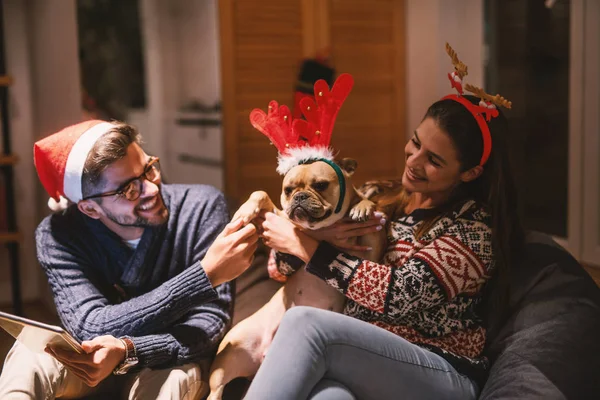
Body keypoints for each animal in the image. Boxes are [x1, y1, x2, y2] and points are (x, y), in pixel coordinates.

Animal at [209, 158, 386, 398]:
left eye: (321, 185)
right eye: (288, 190)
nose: (299, 196)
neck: (322, 229)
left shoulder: (369, 255)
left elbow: (369, 218)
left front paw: (363, 205)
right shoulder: (280, 219)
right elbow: (260, 193)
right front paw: (245, 211)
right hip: (229, 357)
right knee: (216, 389)